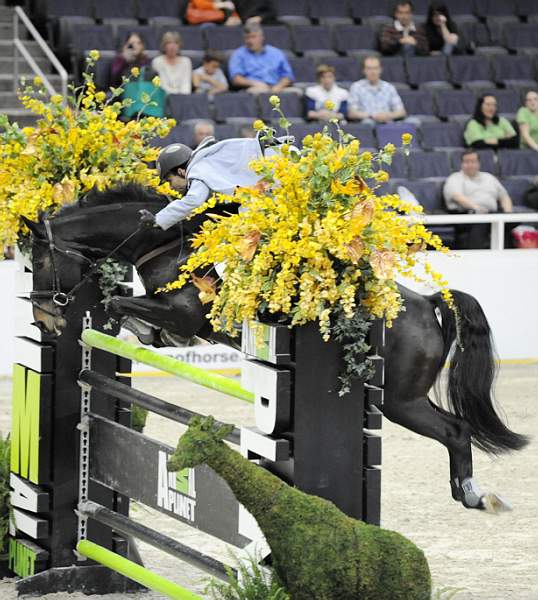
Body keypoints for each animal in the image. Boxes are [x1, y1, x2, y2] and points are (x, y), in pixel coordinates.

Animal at [26, 183, 528, 510]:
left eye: (39, 262)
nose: (46, 320)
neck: (161, 240)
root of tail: (426, 303)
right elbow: (128, 313)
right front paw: (141, 333)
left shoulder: (184, 312)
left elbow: (120, 304)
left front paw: (130, 324)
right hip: (402, 397)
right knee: (455, 429)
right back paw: (468, 492)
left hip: (400, 399)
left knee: (456, 431)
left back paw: (473, 494)